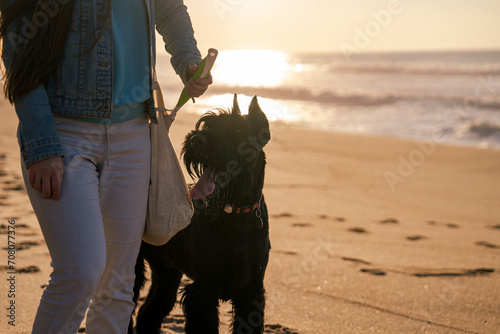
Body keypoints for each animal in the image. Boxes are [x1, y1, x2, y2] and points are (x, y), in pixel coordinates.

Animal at [129, 95, 270, 332]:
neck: (237, 216)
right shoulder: (203, 290)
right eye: (206, 125)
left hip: (167, 272)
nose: (196, 140)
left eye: (237, 130)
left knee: (149, 313)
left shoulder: (251, 291)